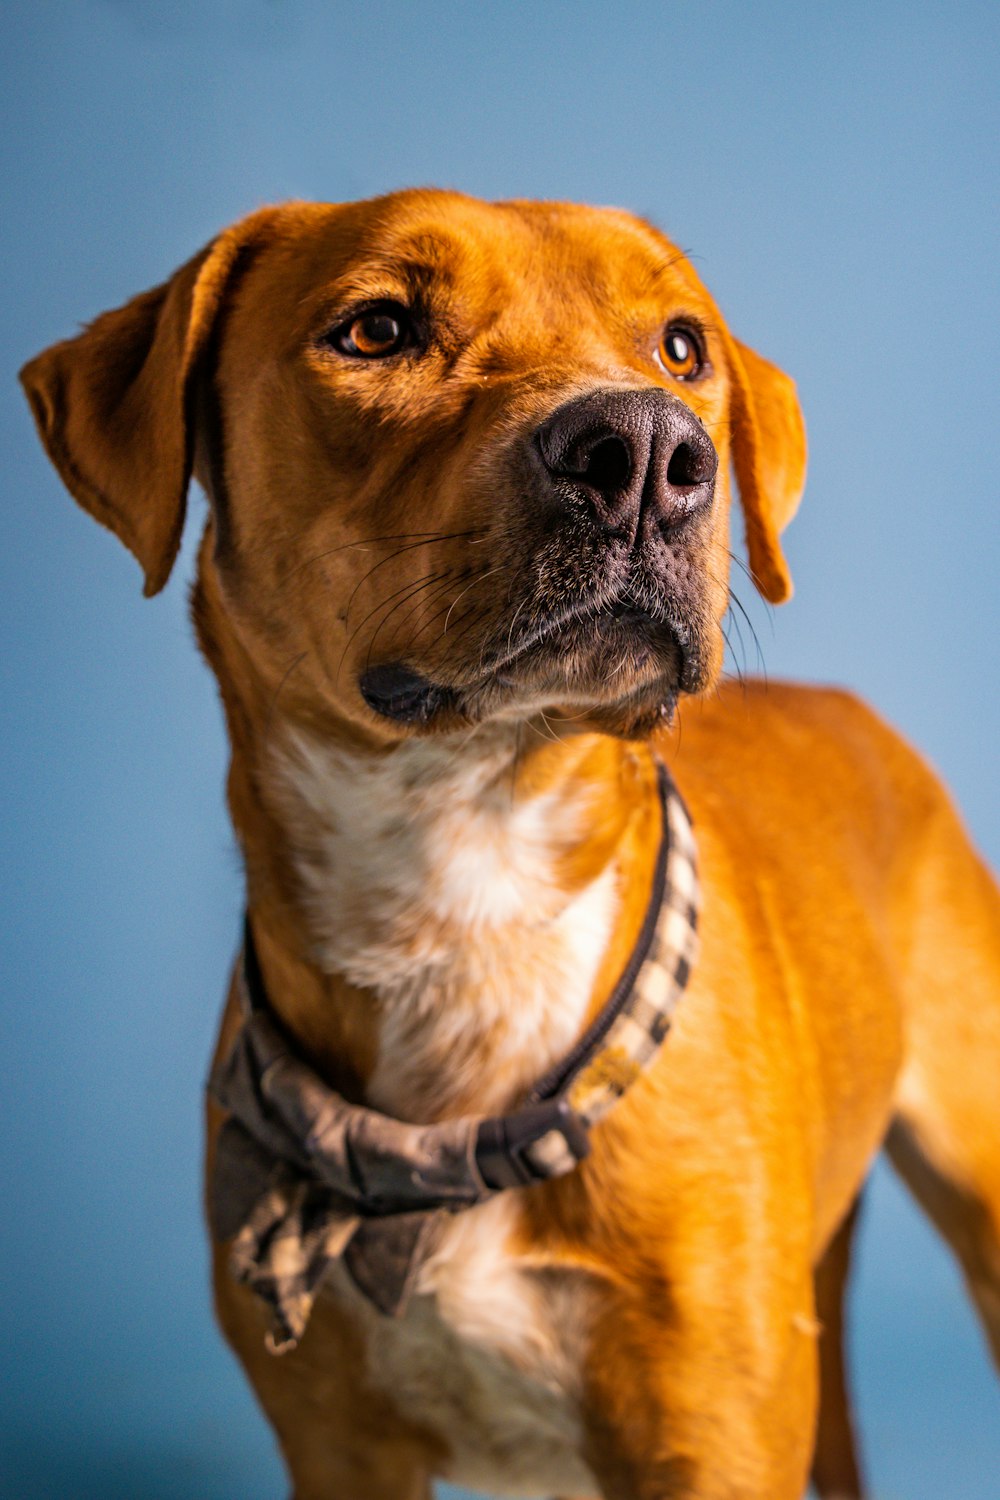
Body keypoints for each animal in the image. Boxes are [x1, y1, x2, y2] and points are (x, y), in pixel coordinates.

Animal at [21, 193, 1000, 1500]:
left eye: (682, 348)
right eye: (376, 328)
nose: (646, 450)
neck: (463, 875)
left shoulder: (711, 1443)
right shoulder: (339, 1450)